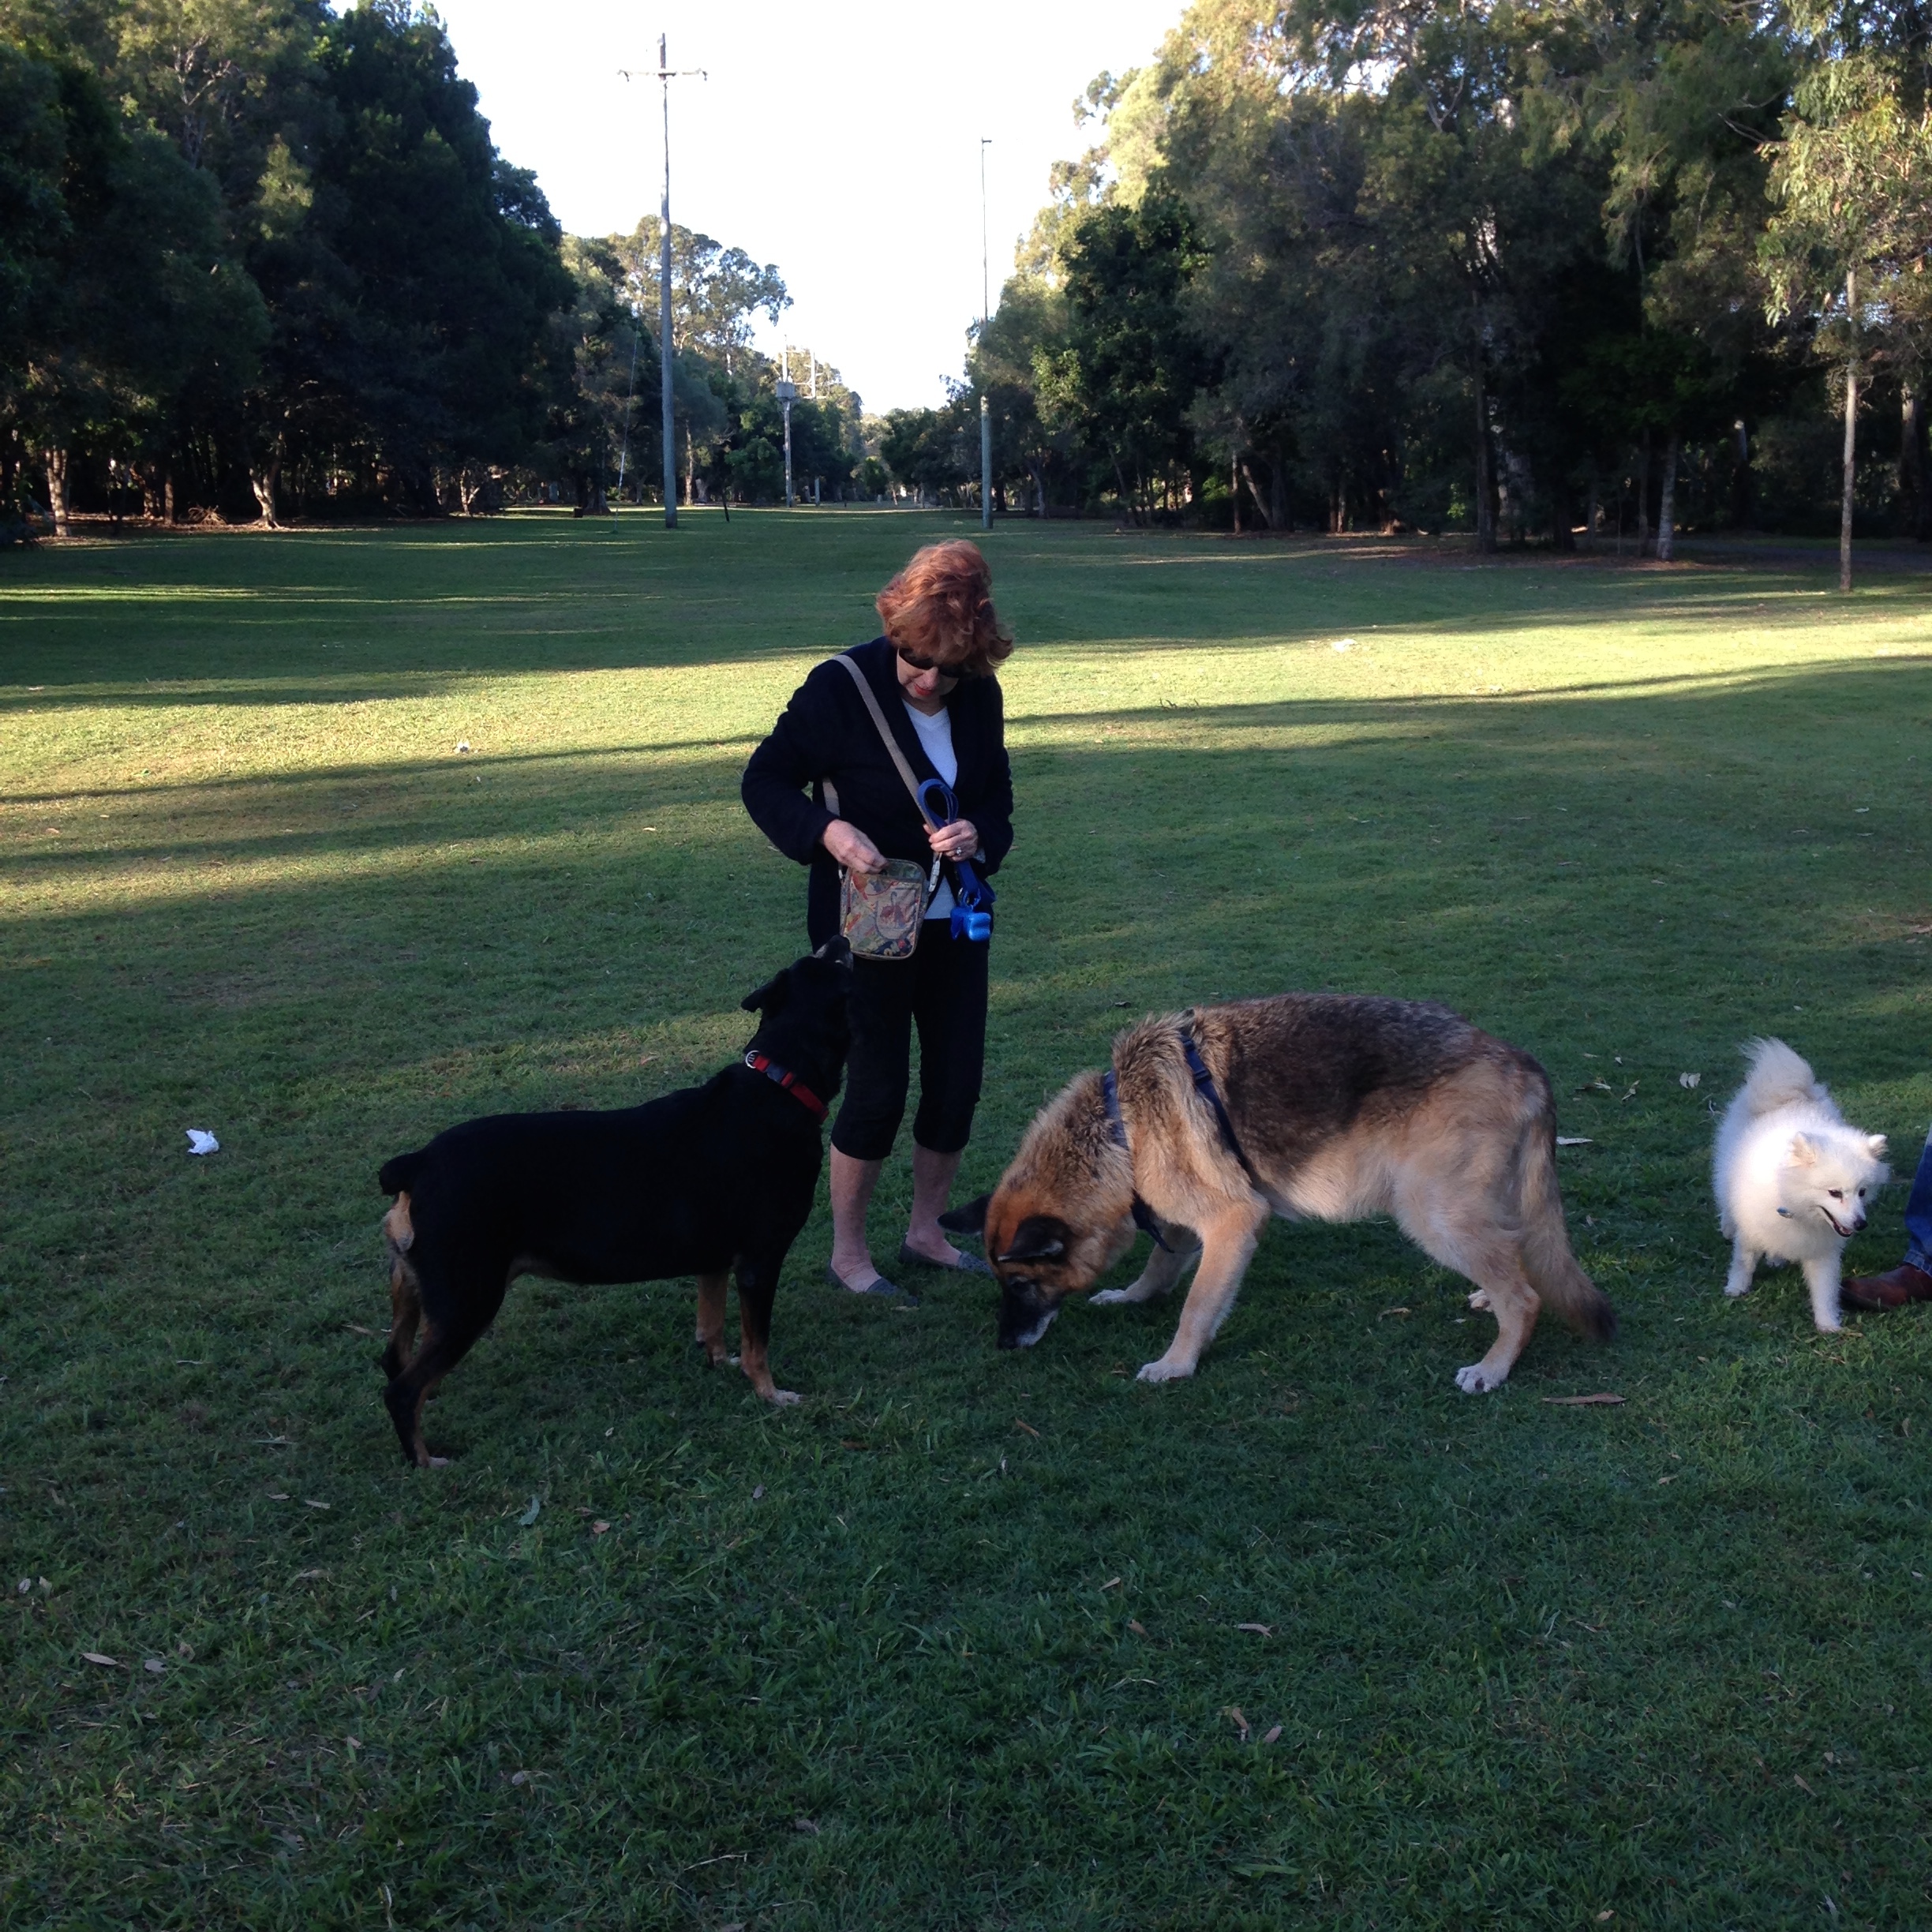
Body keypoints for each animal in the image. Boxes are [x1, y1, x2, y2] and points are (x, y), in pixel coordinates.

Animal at [375, 938, 852, 1467]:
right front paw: (770, 1395)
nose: (841, 940)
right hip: (468, 1301)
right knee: (401, 1390)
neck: (780, 1083)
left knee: (394, 1361)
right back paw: (425, 1461)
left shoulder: (713, 1260)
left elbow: (712, 1324)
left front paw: (719, 1362)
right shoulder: (759, 1262)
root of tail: (418, 1163)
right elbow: (757, 1346)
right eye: (836, 965)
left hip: (415, 1290)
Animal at [942, 995, 1614, 1392]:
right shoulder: (1182, 1222)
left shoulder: (1233, 1223)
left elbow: (1195, 1306)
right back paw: (1483, 1297)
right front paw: (1131, 1297)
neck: (1119, 1126)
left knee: (1525, 1296)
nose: (1004, 1346)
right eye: (1004, 1284)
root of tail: (1523, 1063)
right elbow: (1159, 1267)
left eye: (1022, 1284)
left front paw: (1176, 1364)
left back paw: (1494, 1366)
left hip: (1432, 1212)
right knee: (1512, 1255)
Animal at [1714, 1037, 1889, 1331]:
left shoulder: (1823, 1250)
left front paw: (1828, 1323)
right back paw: (1728, 1226)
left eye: (1862, 1192)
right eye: (1834, 1192)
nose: (1860, 1224)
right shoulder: (1751, 1230)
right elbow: (1743, 1261)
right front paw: (1736, 1288)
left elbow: (1825, 1289)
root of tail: (1789, 1094)